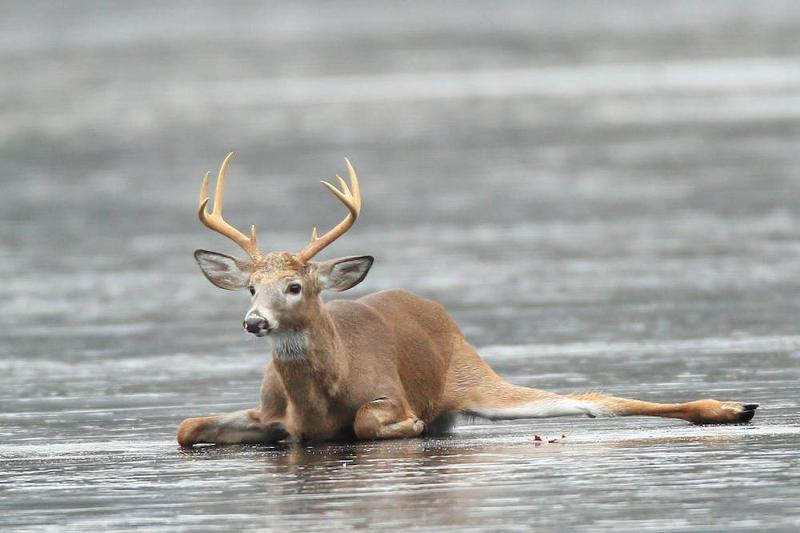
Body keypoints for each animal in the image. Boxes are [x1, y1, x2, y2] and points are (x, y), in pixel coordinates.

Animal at [175, 153, 756, 444]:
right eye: (252, 287)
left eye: (295, 287)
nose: (254, 321)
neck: (317, 396)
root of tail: (436, 311)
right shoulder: (269, 412)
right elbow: (185, 428)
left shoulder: (387, 392)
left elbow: (366, 422)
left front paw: (409, 425)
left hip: (474, 376)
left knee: (594, 401)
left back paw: (734, 407)